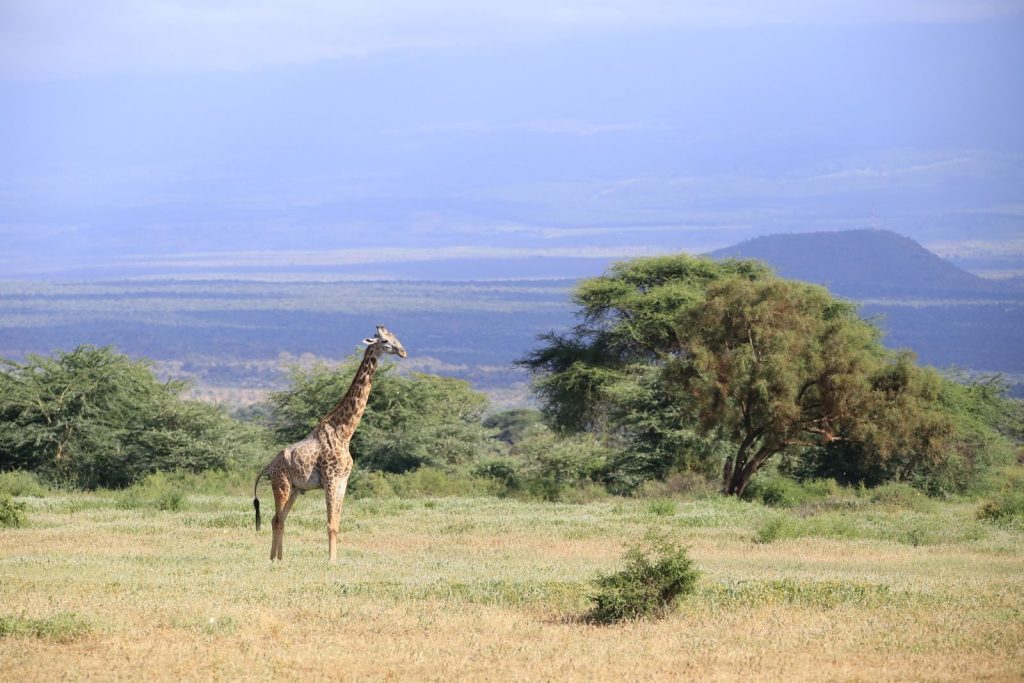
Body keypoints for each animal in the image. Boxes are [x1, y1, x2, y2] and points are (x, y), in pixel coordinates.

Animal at [252, 325, 407, 561]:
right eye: (385, 341)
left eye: (395, 338)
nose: (403, 352)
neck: (344, 432)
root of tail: (268, 466)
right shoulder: (331, 478)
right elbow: (330, 524)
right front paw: (331, 561)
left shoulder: (343, 480)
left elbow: (337, 523)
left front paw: (335, 559)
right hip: (282, 484)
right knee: (277, 519)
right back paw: (273, 560)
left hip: (295, 488)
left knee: (278, 519)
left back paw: (279, 559)